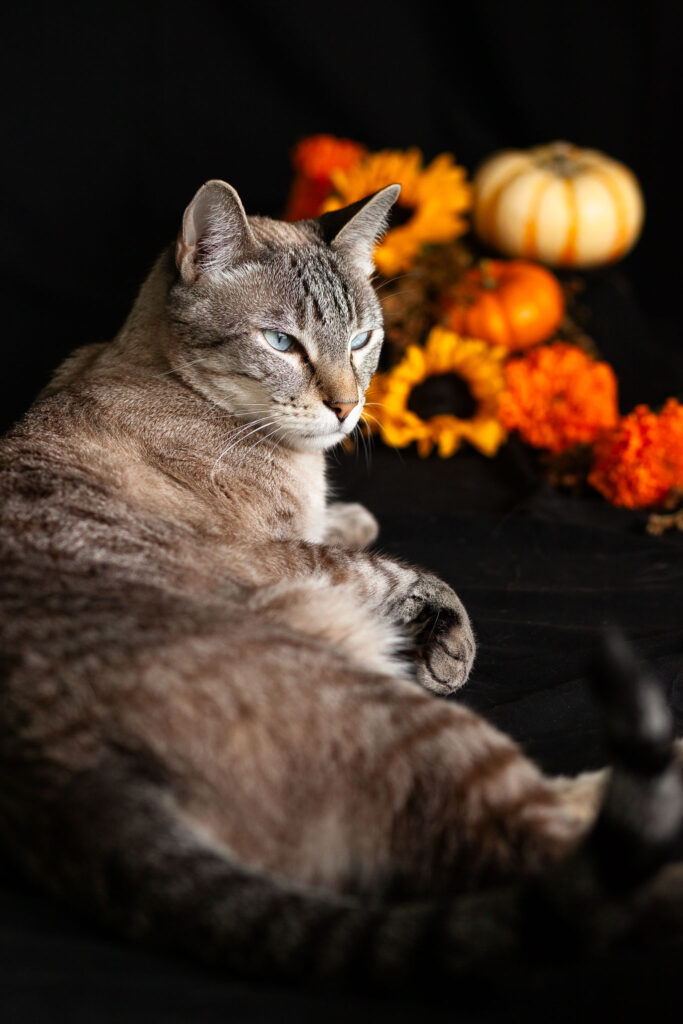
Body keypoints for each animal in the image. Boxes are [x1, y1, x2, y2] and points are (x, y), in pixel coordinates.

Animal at [0, 180, 679, 987]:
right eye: (281, 344)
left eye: (360, 341)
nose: (346, 404)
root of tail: (68, 771)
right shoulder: (277, 553)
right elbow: (397, 571)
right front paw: (448, 645)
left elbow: (350, 526)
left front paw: (350, 514)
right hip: (413, 721)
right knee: (568, 849)